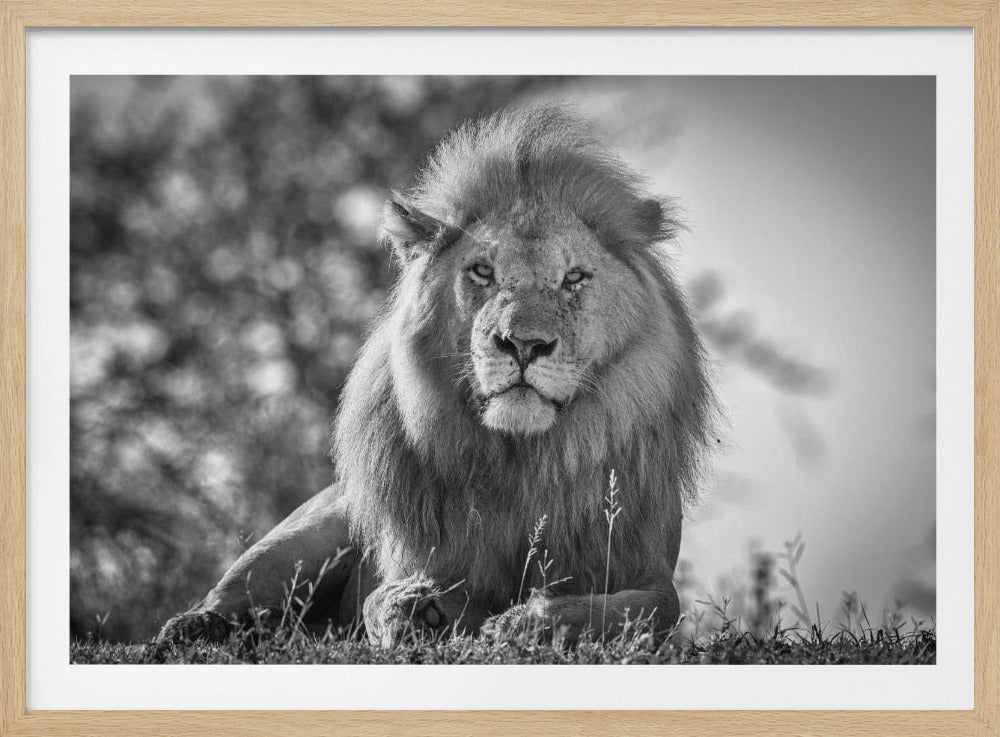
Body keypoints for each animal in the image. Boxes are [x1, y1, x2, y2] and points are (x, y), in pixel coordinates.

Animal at [155, 105, 712, 649]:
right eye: (482, 272)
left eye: (573, 278)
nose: (523, 344)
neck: (524, 461)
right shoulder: (411, 557)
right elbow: (380, 599)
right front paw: (417, 610)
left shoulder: (648, 569)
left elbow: (642, 610)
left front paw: (528, 623)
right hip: (310, 530)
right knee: (234, 597)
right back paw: (193, 628)